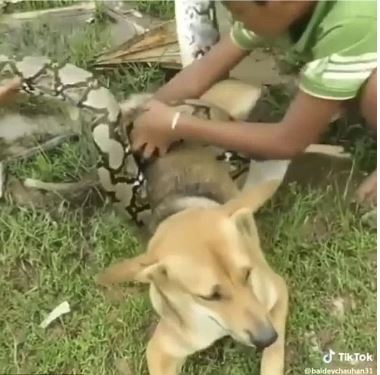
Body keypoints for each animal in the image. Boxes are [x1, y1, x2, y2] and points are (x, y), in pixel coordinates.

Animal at [97, 80, 288, 375]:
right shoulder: (160, 350)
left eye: (247, 274)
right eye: (210, 296)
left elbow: (273, 360)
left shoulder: (278, 294)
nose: (266, 337)